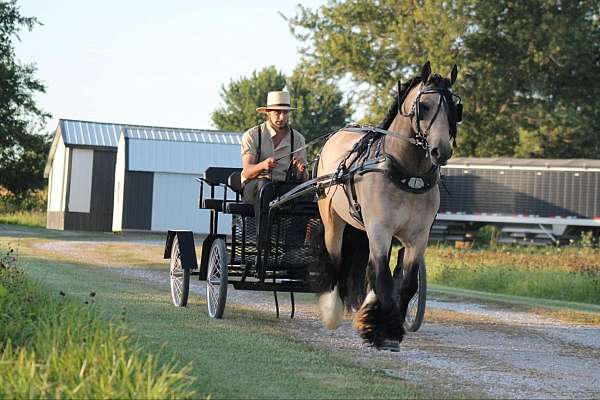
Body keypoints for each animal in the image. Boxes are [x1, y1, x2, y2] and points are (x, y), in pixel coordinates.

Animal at [316, 61, 462, 346]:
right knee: (336, 259)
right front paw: (381, 331)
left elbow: (406, 283)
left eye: (453, 108)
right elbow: (383, 277)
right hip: (333, 220)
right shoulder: (380, 229)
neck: (407, 173)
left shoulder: (417, 237)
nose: (441, 151)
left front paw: (389, 327)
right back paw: (333, 311)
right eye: (423, 106)